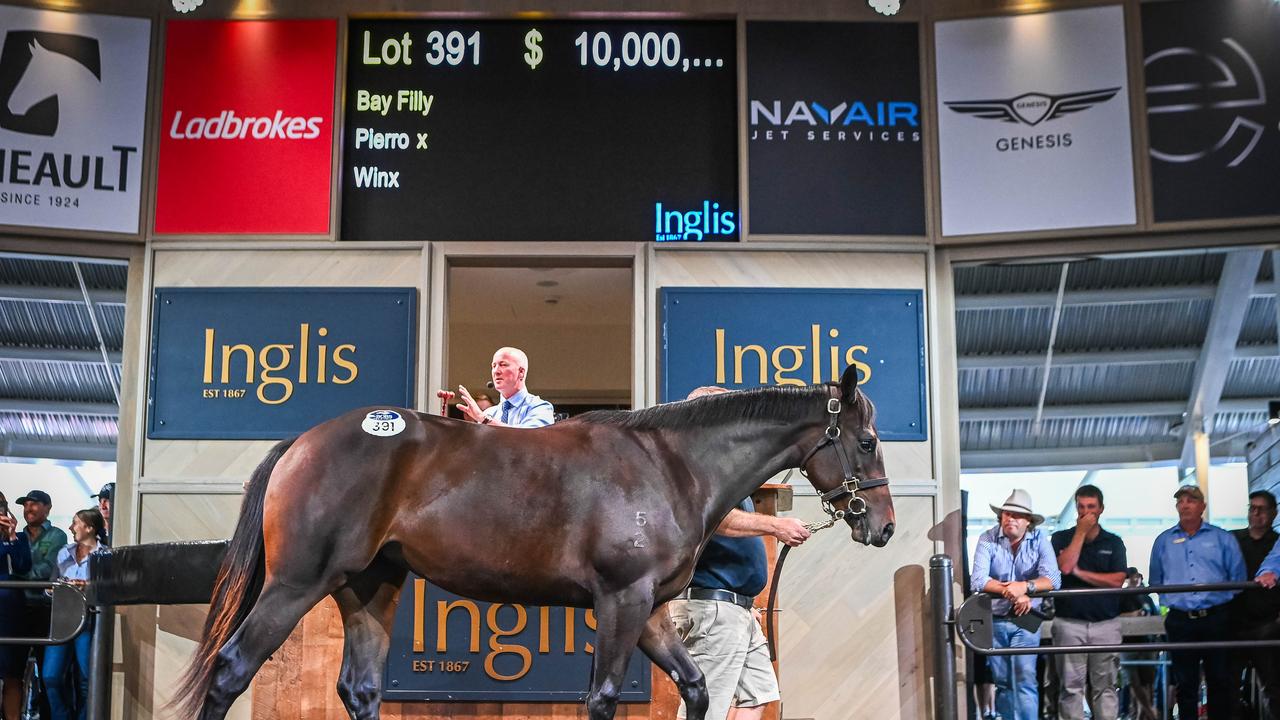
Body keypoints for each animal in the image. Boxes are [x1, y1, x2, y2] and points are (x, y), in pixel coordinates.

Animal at [175, 363, 896, 717]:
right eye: (866, 441)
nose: (883, 525)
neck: (669, 464)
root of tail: (301, 441)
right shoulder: (620, 602)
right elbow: (602, 699)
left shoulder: (652, 610)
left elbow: (695, 689)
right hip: (297, 585)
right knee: (231, 669)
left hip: (369, 588)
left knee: (360, 690)